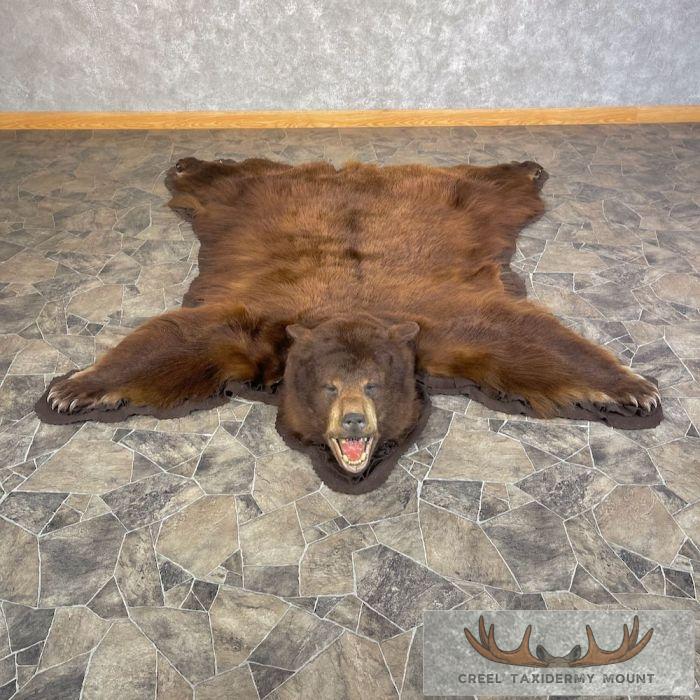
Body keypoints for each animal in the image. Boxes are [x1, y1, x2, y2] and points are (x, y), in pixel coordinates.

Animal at [40, 156, 660, 481]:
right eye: (329, 386)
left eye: (376, 385)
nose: (355, 423)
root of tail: (355, 171)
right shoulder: (257, 328)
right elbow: (181, 340)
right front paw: (74, 389)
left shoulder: (441, 327)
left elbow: (524, 340)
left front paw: (631, 389)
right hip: (241, 200)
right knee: (224, 179)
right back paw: (188, 165)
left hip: (469, 203)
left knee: (493, 186)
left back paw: (526, 168)